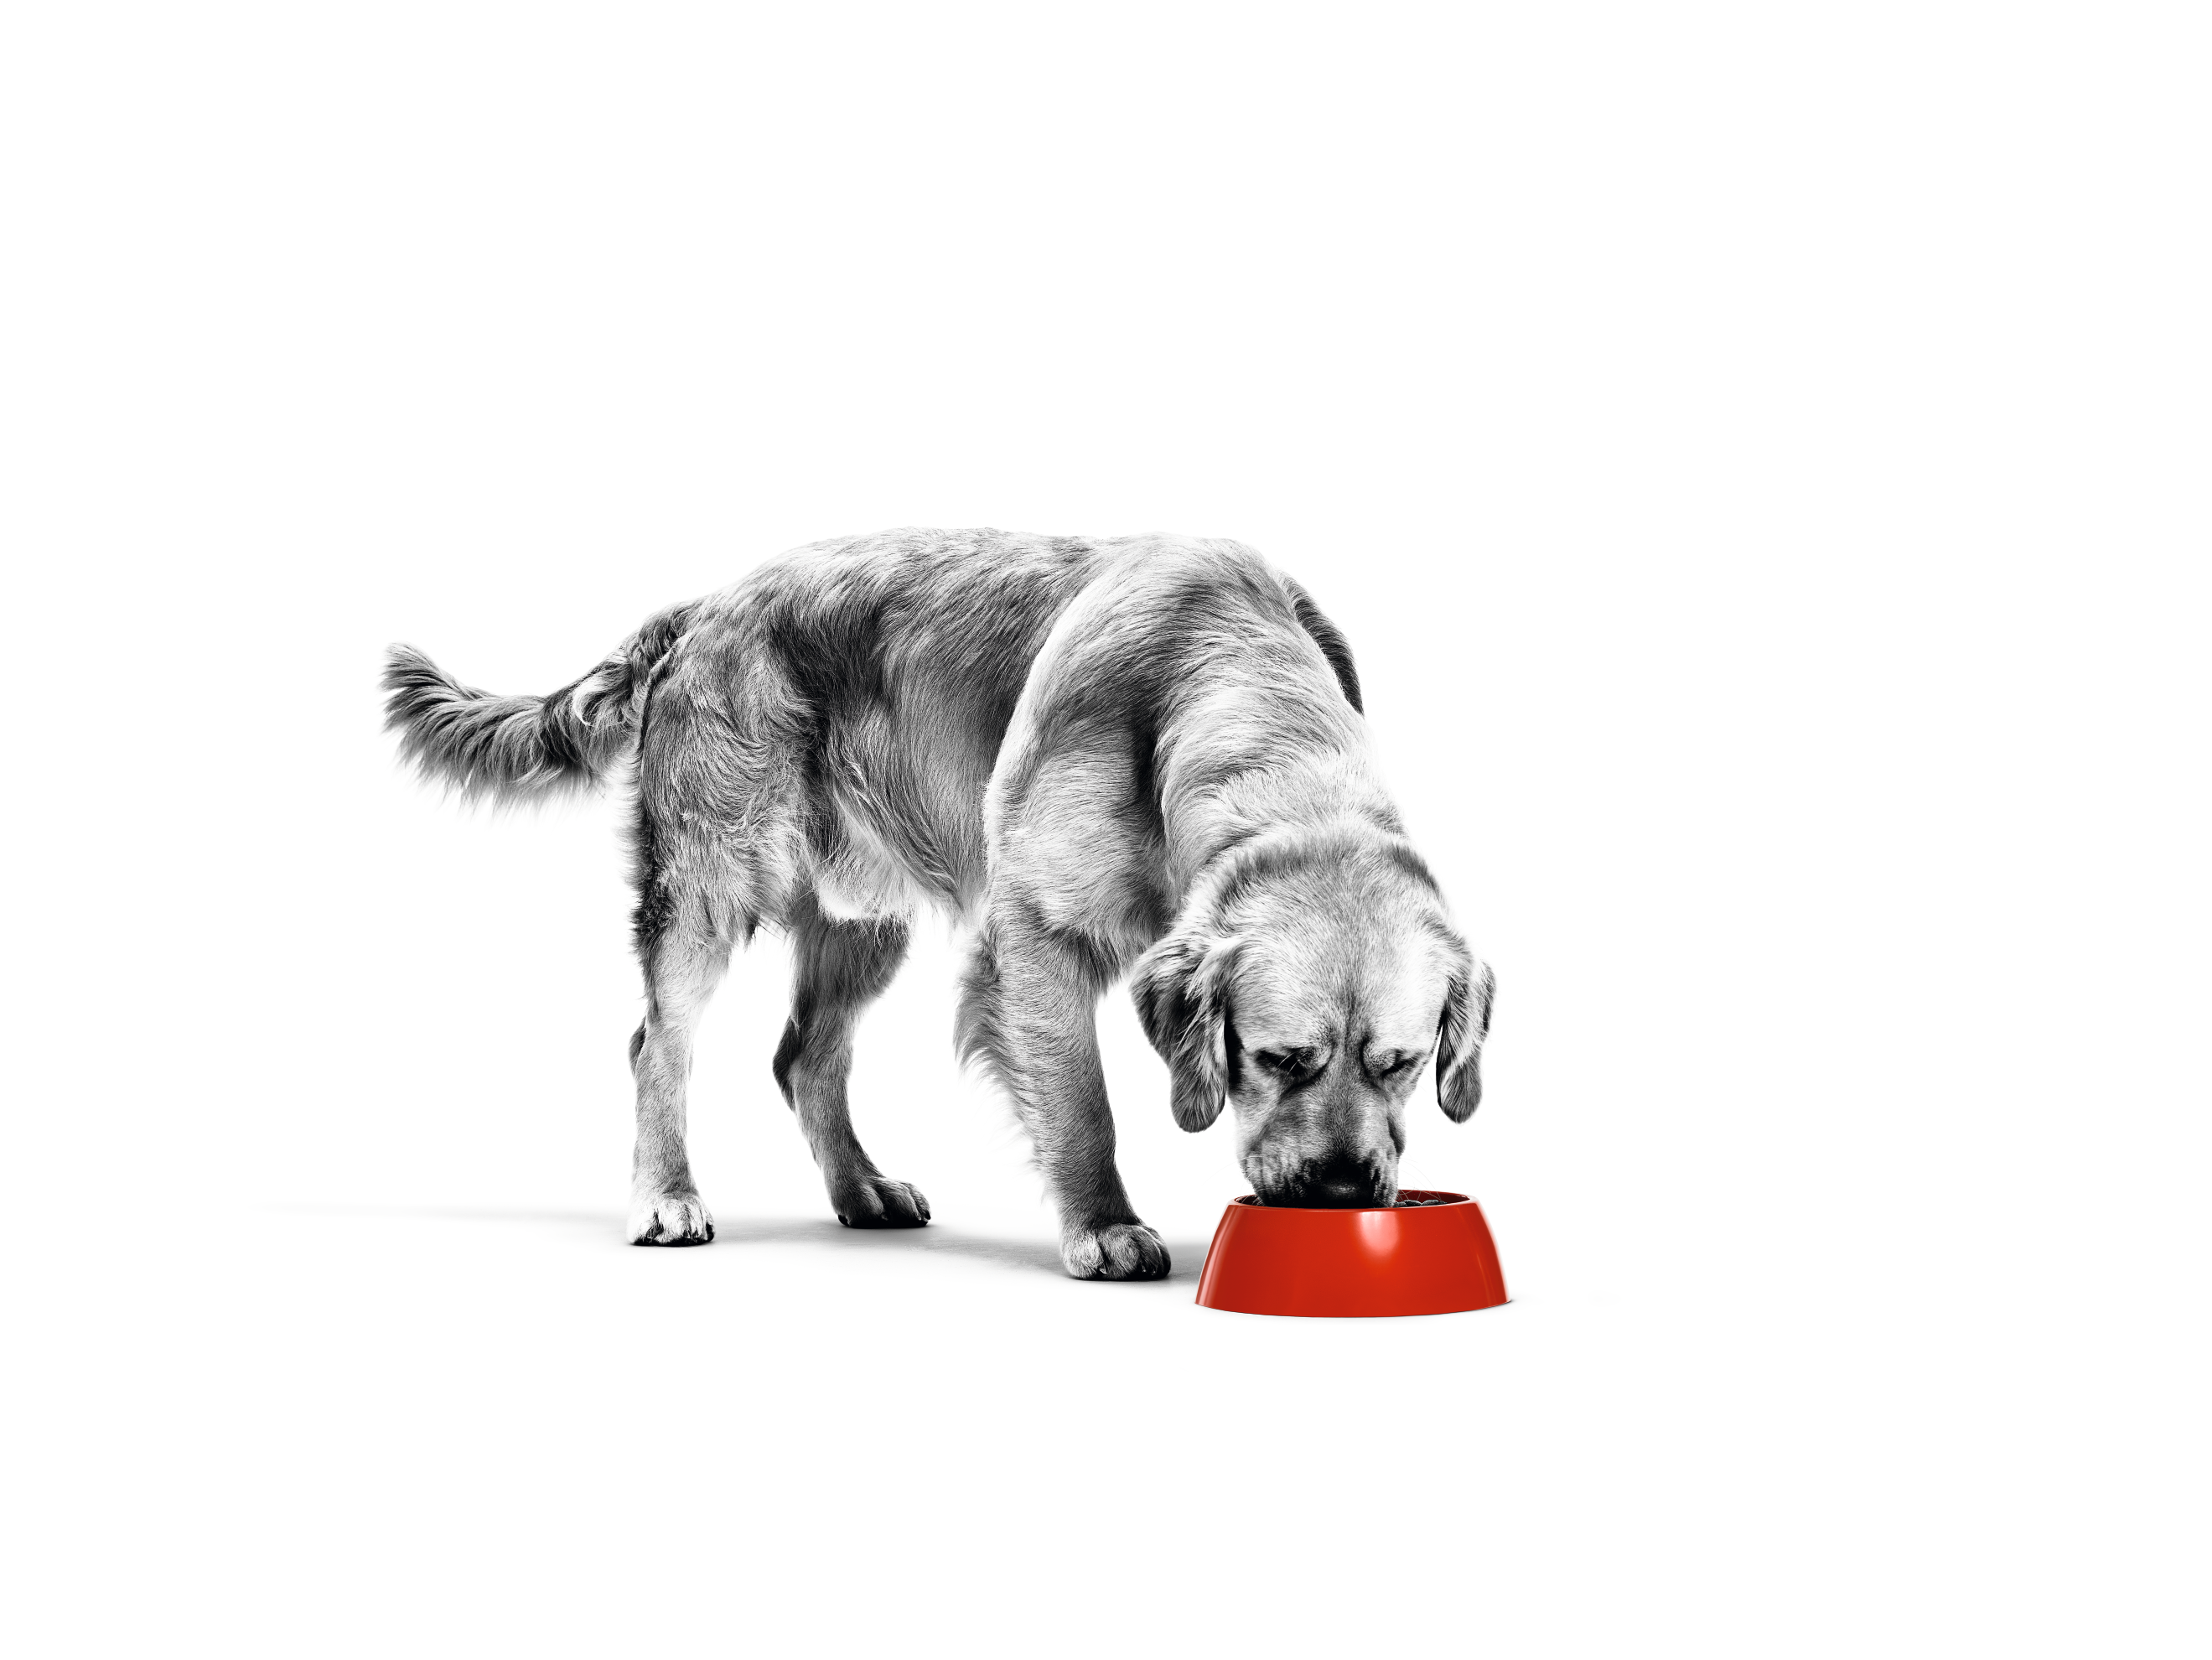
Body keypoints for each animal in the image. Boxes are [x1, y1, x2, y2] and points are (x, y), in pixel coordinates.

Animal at [380, 527, 1495, 1284]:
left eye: (1401, 1065)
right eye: (1276, 1059)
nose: (1344, 1192)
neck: (1219, 678)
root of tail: (706, 607)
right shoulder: (1035, 936)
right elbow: (1081, 1101)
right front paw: (1103, 1225)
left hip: (863, 920)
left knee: (804, 1057)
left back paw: (859, 1189)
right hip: (710, 882)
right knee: (658, 1044)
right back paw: (667, 1197)